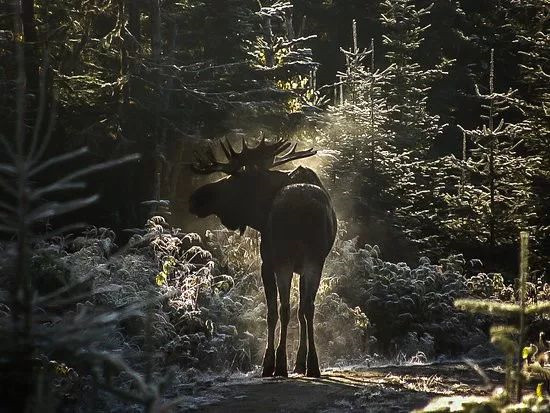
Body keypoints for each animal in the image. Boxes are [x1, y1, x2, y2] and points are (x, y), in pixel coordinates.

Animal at [189, 138, 336, 376]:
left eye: (233, 178)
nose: (195, 198)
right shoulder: (305, 266)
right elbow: (301, 310)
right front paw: (300, 362)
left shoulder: (267, 262)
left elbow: (272, 313)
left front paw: (269, 362)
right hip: (314, 259)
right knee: (308, 307)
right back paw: (313, 365)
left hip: (284, 258)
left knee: (283, 309)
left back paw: (280, 365)